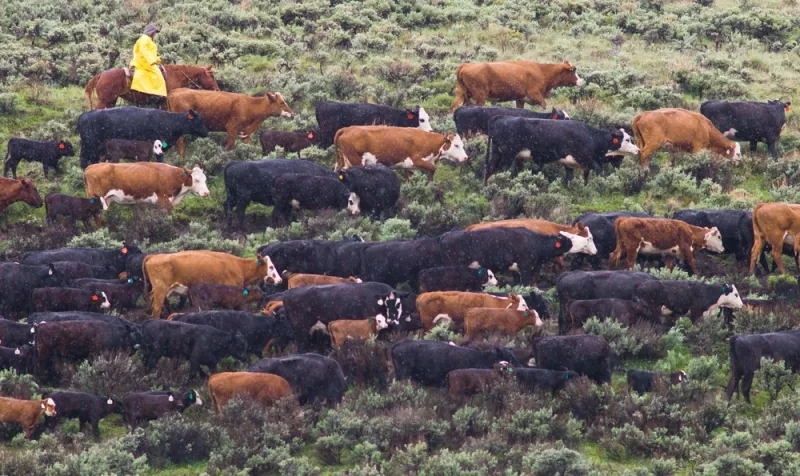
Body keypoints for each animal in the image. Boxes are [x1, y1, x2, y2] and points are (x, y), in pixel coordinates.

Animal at [78, 107, 208, 168]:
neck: (170, 121)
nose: (207, 133)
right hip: (89, 147)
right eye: (198, 121)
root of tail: (85, 114)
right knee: (85, 162)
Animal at [142, 250, 282, 318]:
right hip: (161, 290)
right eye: (271, 266)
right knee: (156, 308)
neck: (239, 266)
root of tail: (153, 256)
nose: (280, 280)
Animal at [335, 126, 469, 179]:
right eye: (456, 145)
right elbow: (432, 169)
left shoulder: (409, 168)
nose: (466, 157)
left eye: (462, 145)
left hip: (343, 161)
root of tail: (347, 129)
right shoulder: (416, 160)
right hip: (356, 161)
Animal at [451, 60, 584, 111]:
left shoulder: (520, 99)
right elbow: (544, 105)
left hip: (462, 93)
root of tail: (465, 65)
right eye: (572, 71)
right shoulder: (535, 94)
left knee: (454, 107)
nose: (581, 81)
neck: (542, 71)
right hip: (480, 96)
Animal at [484, 117, 639, 184]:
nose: (638, 150)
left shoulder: (571, 164)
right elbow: (599, 172)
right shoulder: (587, 159)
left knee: (490, 169)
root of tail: (500, 119)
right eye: (627, 140)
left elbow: (576, 178)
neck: (591, 137)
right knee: (502, 170)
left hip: (497, 153)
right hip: (508, 155)